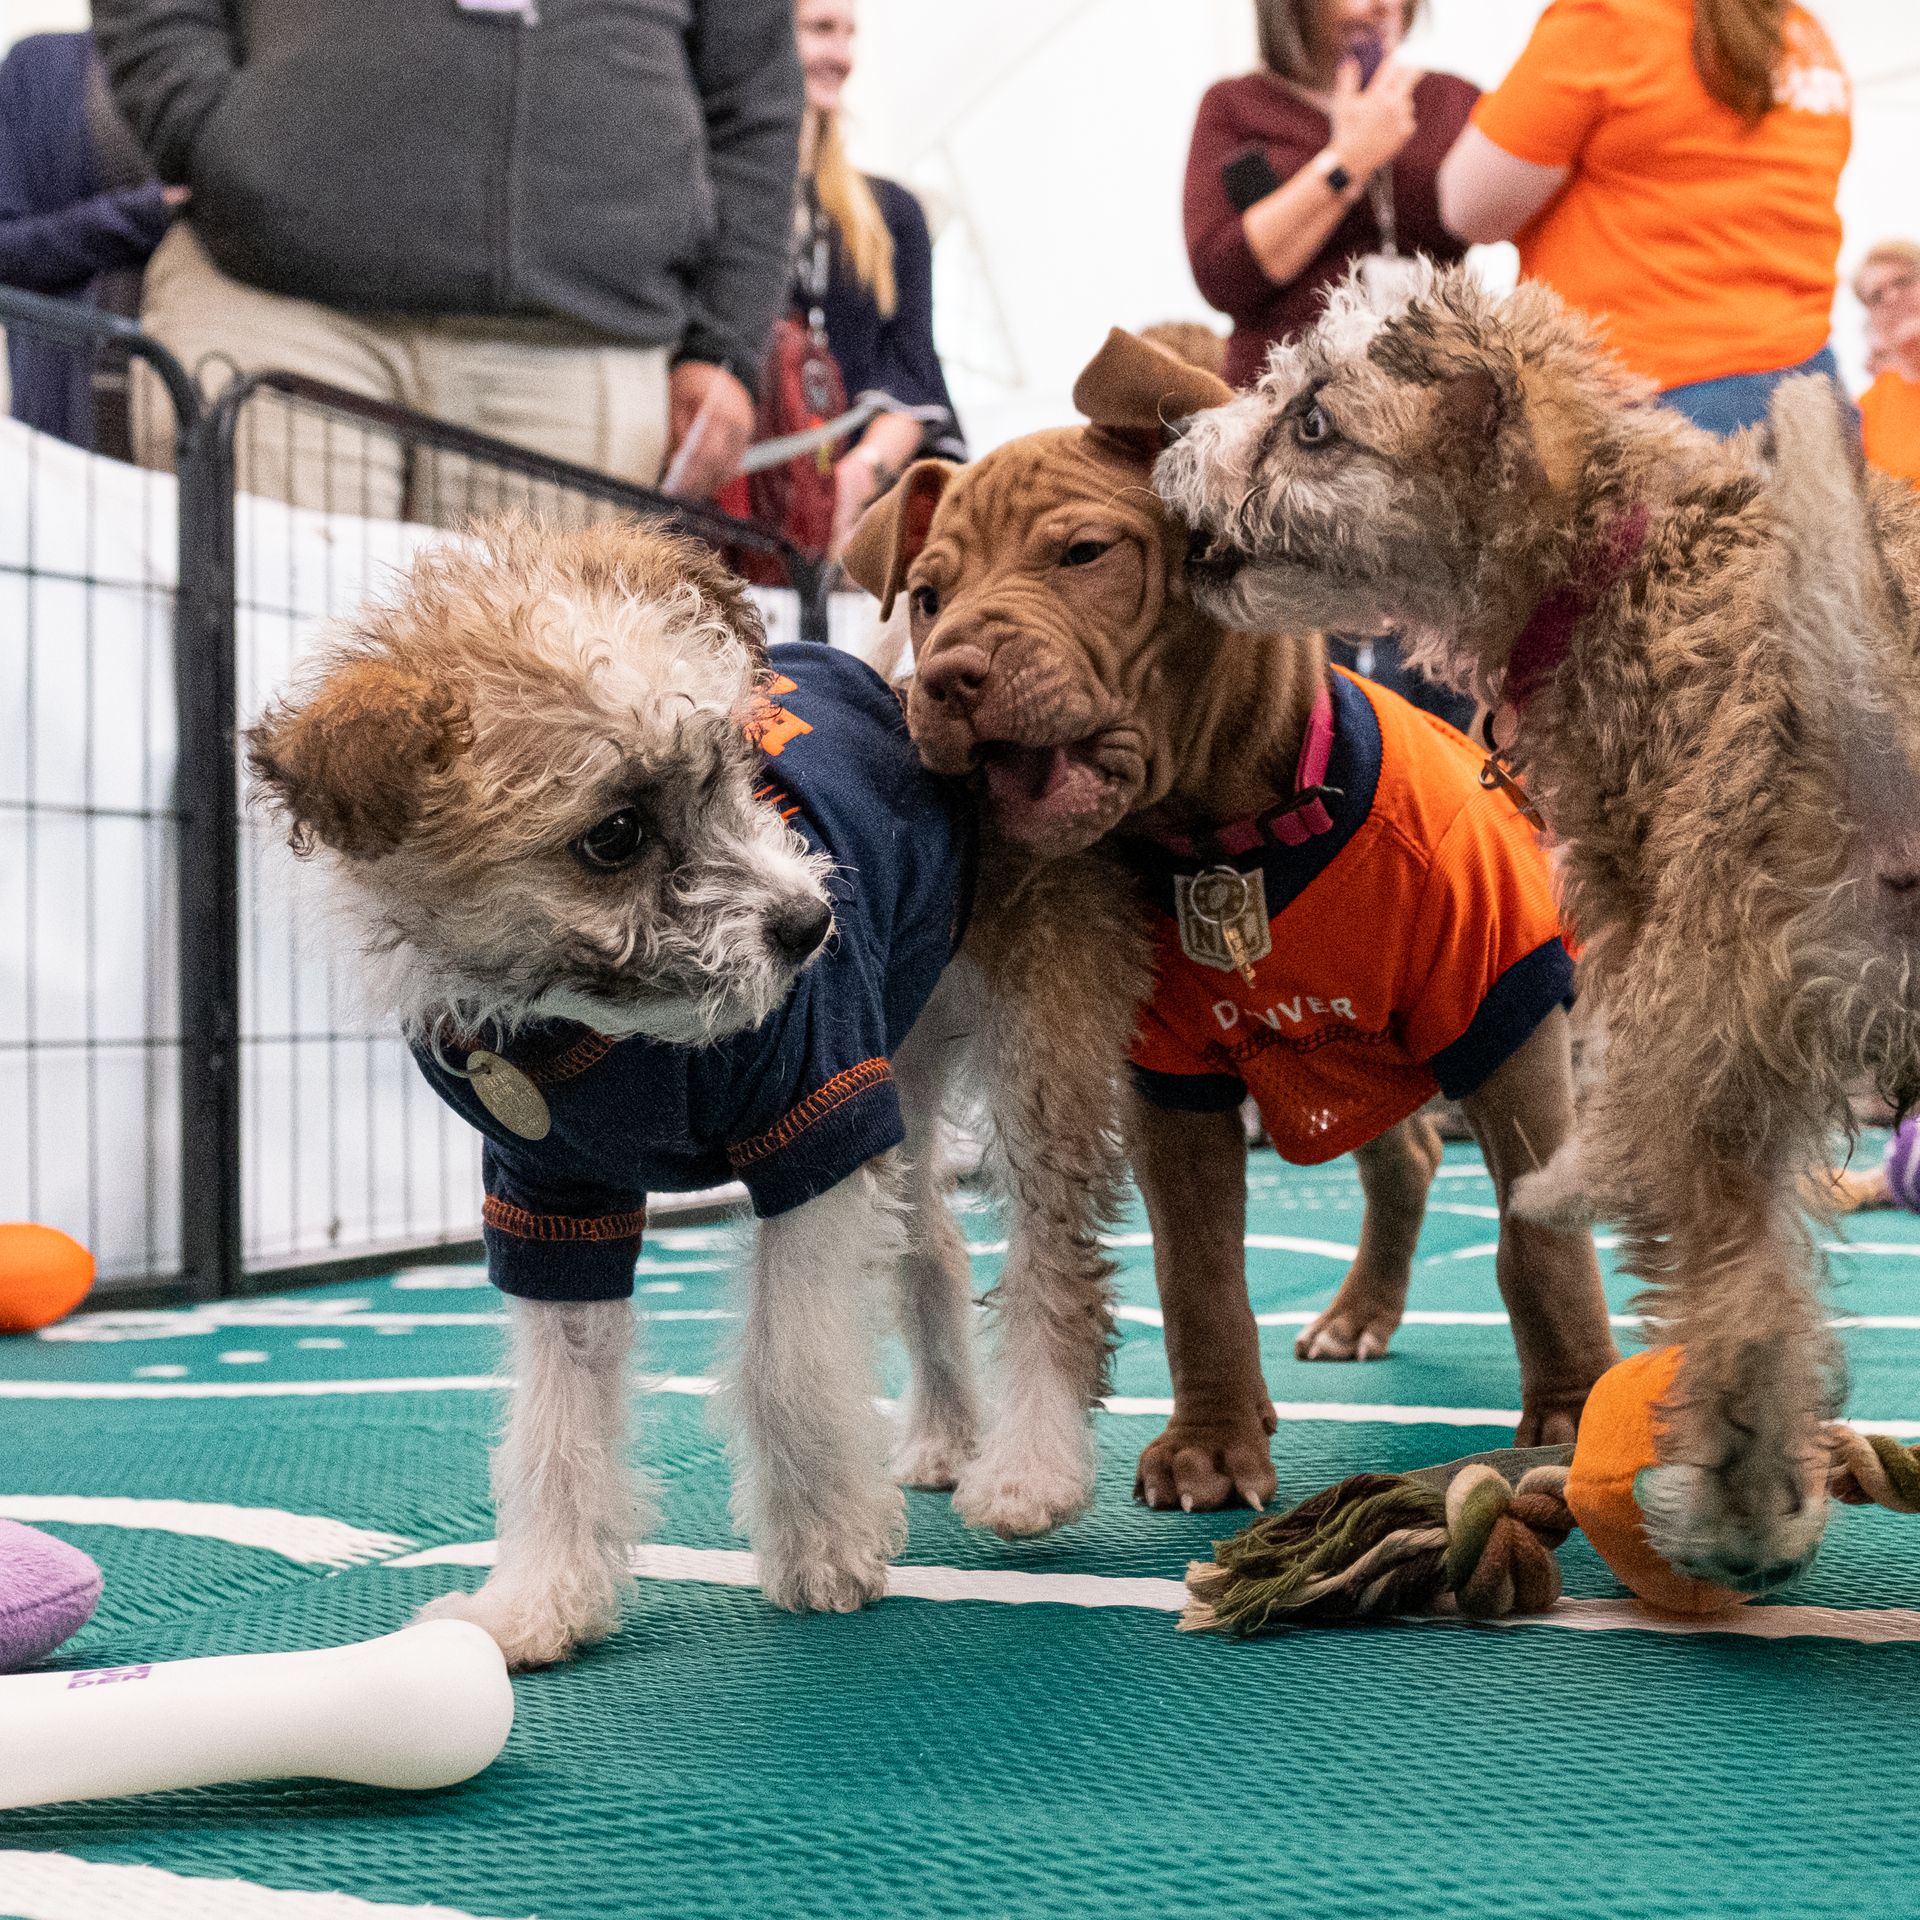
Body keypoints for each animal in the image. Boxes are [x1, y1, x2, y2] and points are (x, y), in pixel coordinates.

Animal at [848, 330, 1612, 1512]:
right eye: (926, 597)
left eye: (1084, 554)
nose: (948, 677)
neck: (1235, 833)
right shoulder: (1172, 1085)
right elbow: (1196, 1270)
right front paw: (1211, 1443)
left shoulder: (1504, 1023)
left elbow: (1540, 1245)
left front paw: (1570, 1416)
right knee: (1404, 1161)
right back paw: (1356, 1315)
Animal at [1159, 263, 1920, 1589]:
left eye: (1314, 423)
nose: (1172, 446)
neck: (1611, 560)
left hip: (1705, 1024)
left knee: (1745, 1296)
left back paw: (1738, 1512)